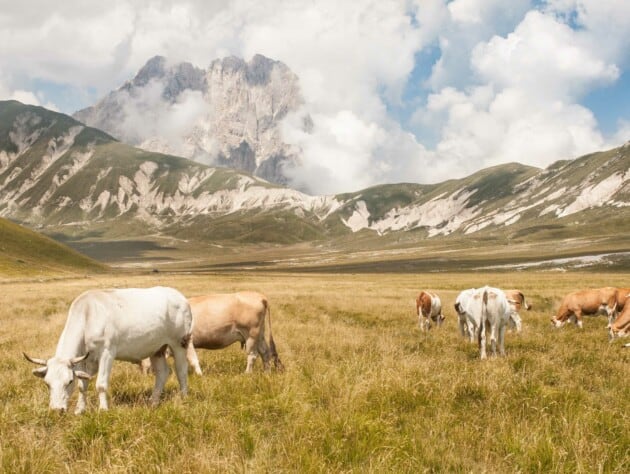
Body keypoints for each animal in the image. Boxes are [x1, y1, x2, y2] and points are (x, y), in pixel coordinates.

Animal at [24, 286, 193, 412]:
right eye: (47, 383)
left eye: (69, 381)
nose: (57, 410)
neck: (87, 316)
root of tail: (180, 297)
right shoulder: (83, 360)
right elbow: (82, 385)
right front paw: (80, 410)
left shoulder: (107, 353)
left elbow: (100, 384)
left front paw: (103, 409)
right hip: (157, 348)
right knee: (163, 372)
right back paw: (153, 402)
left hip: (179, 343)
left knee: (181, 370)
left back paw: (184, 398)